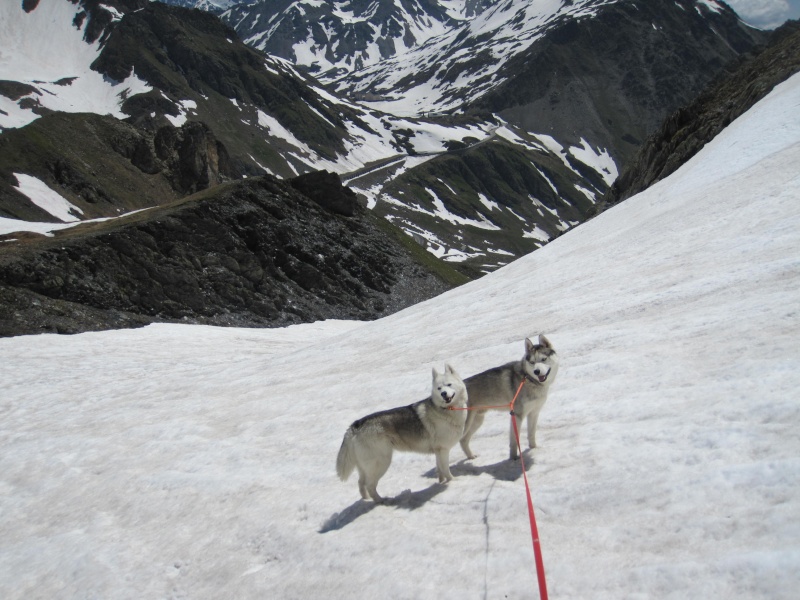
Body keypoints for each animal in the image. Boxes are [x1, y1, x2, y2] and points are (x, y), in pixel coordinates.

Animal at [338, 366, 468, 502]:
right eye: (439, 388)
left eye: (449, 384)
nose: (443, 394)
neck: (446, 410)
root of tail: (356, 425)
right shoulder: (443, 450)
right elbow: (446, 469)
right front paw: (453, 481)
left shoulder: (438, 451)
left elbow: (440, 471)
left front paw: (441, 483)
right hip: (381, 462)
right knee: (370, 485)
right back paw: (382, 501)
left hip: (365, 467)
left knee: (361, 483)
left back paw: (367, 500)